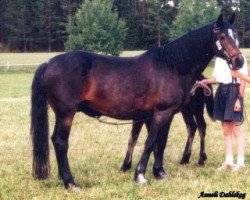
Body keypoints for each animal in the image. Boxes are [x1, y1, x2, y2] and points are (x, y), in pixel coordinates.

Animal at [31, 14, 244, 189]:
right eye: (222, 37)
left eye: (236, 35)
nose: (239, 61)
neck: (172, 65)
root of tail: (48, 63)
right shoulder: (161, 113)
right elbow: (150, 142)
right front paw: (140, 175)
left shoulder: (163, 115)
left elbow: (160, 143)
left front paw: (159, 172)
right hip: (66, 113)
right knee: (60, 142)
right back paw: (70, 182)